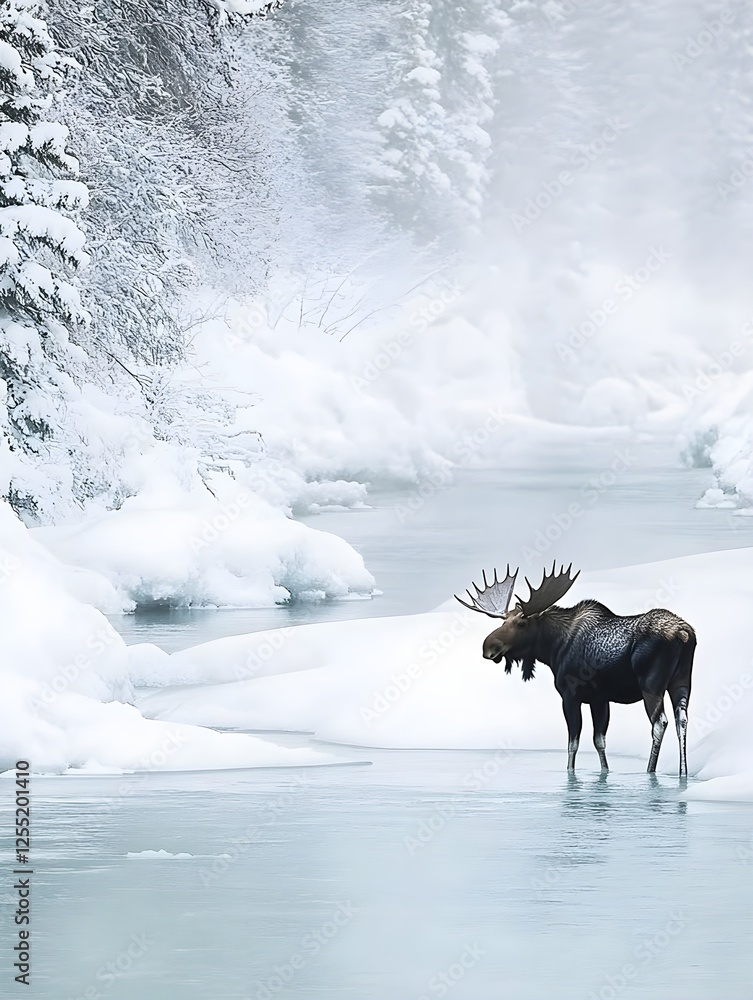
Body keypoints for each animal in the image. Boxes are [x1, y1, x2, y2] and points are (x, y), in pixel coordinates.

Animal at [456, 563, 696, 776]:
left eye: (522, 624)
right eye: (503, 621)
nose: (488, 647)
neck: (553, 649)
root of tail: (683, 634)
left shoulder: (569, 695)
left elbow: (573, 742)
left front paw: (570, 773)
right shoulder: (600, 699)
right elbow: (599, 741)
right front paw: (604, 772)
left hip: (651, 684)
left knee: (660, 722)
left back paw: (650, 770)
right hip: (682, 681)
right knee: (681, 720)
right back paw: (683, 772)